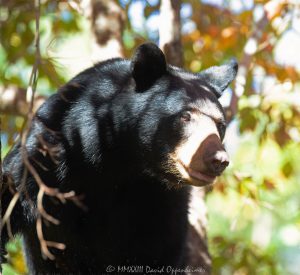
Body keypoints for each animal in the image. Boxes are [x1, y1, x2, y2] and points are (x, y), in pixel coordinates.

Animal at [1, 43, 238, 274]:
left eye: (220, 125)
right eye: (185, 116)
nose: (218, 160)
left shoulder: (165, 204)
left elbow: (159, 252)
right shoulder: (46, 156)